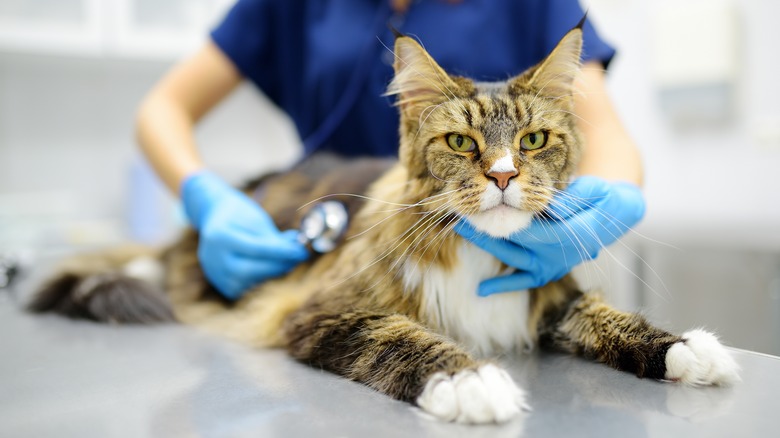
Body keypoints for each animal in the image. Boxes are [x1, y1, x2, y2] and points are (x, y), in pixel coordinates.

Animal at [29, 23, 736, 424]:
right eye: (460, 143)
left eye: (533, 140)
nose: (504, 176)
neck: (480, 259)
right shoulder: (323, 310)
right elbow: (405, 339)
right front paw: (474, 381)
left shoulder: (551, 298)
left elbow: (608, 317)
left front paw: (686, 348)